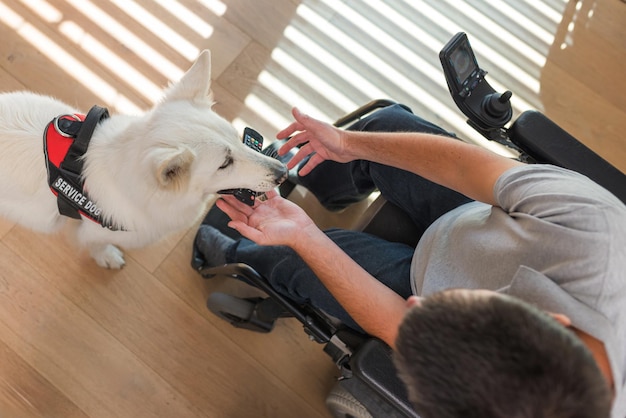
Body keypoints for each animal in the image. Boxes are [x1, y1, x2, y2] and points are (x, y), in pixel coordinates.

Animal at [0, 50, 286, 270]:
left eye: (238, 139)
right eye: (225, 164)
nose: (283, 172)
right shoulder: (94, 231)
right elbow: (95, 243)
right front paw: (106, 256)